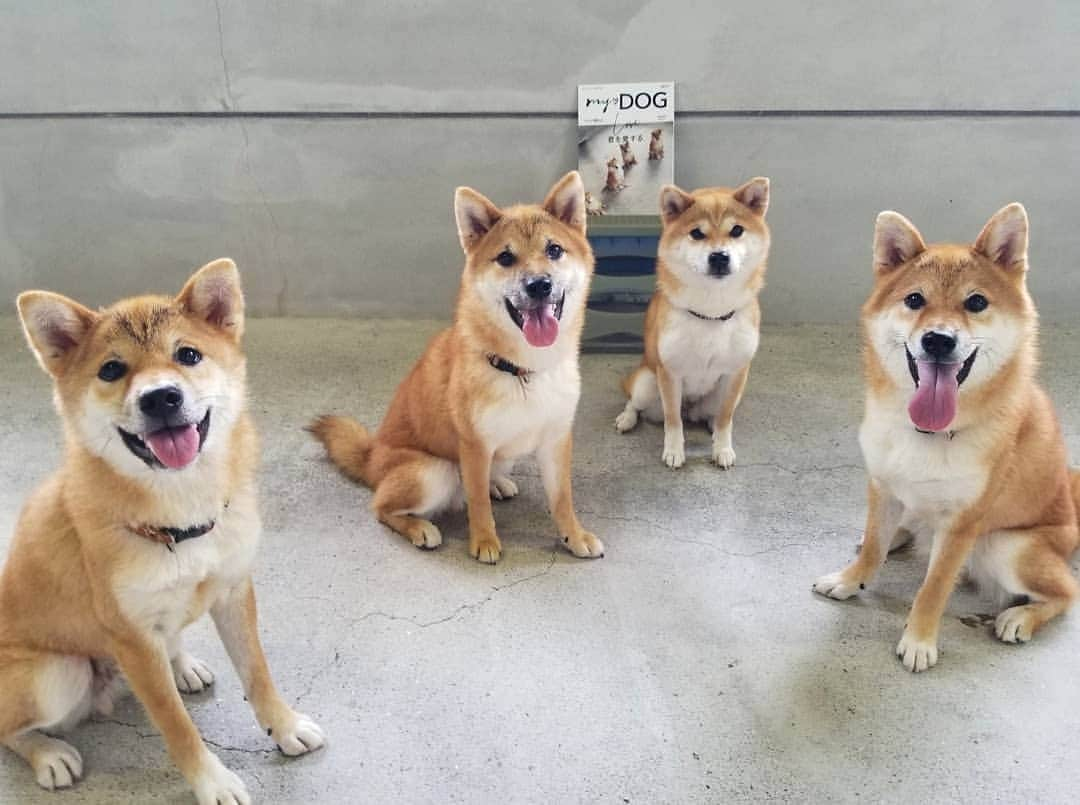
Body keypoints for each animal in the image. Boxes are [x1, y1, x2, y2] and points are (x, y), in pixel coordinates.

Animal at [3, 260, 324, 799]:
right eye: (112, 369)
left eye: (187, 354)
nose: (161, 398)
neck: (181, 511)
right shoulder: (133, 639)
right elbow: (177, 726)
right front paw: (213, 783)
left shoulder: (233, 590)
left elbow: (257, 674)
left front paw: (284, 727)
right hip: (57, 674)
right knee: (10, 729)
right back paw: (48, 754)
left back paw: (183, 663)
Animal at [613, 179, 773, 468]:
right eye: (697, 234)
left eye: (737, 230)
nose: (719, 256)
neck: (711, 312)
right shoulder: (669, 373)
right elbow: (673, 420)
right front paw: (674, 451)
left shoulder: (736, 373)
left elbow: (725, 418)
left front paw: (722, 448)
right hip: (647, 383)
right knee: (637, 404)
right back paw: (627, 419)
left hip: (724, 394)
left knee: (714, 414)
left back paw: (710, 425)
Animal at [812, 204, 1080, 669]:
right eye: (914, 300)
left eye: (976, 303)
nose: (938, 339)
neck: (929, 432)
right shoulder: (882, 486)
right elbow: (872, 550)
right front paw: (850, 580)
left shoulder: (961, 524)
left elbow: (934, 587)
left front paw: (919, 641)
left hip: (1007, 547)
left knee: (1067, 592)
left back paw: (1021, 618)